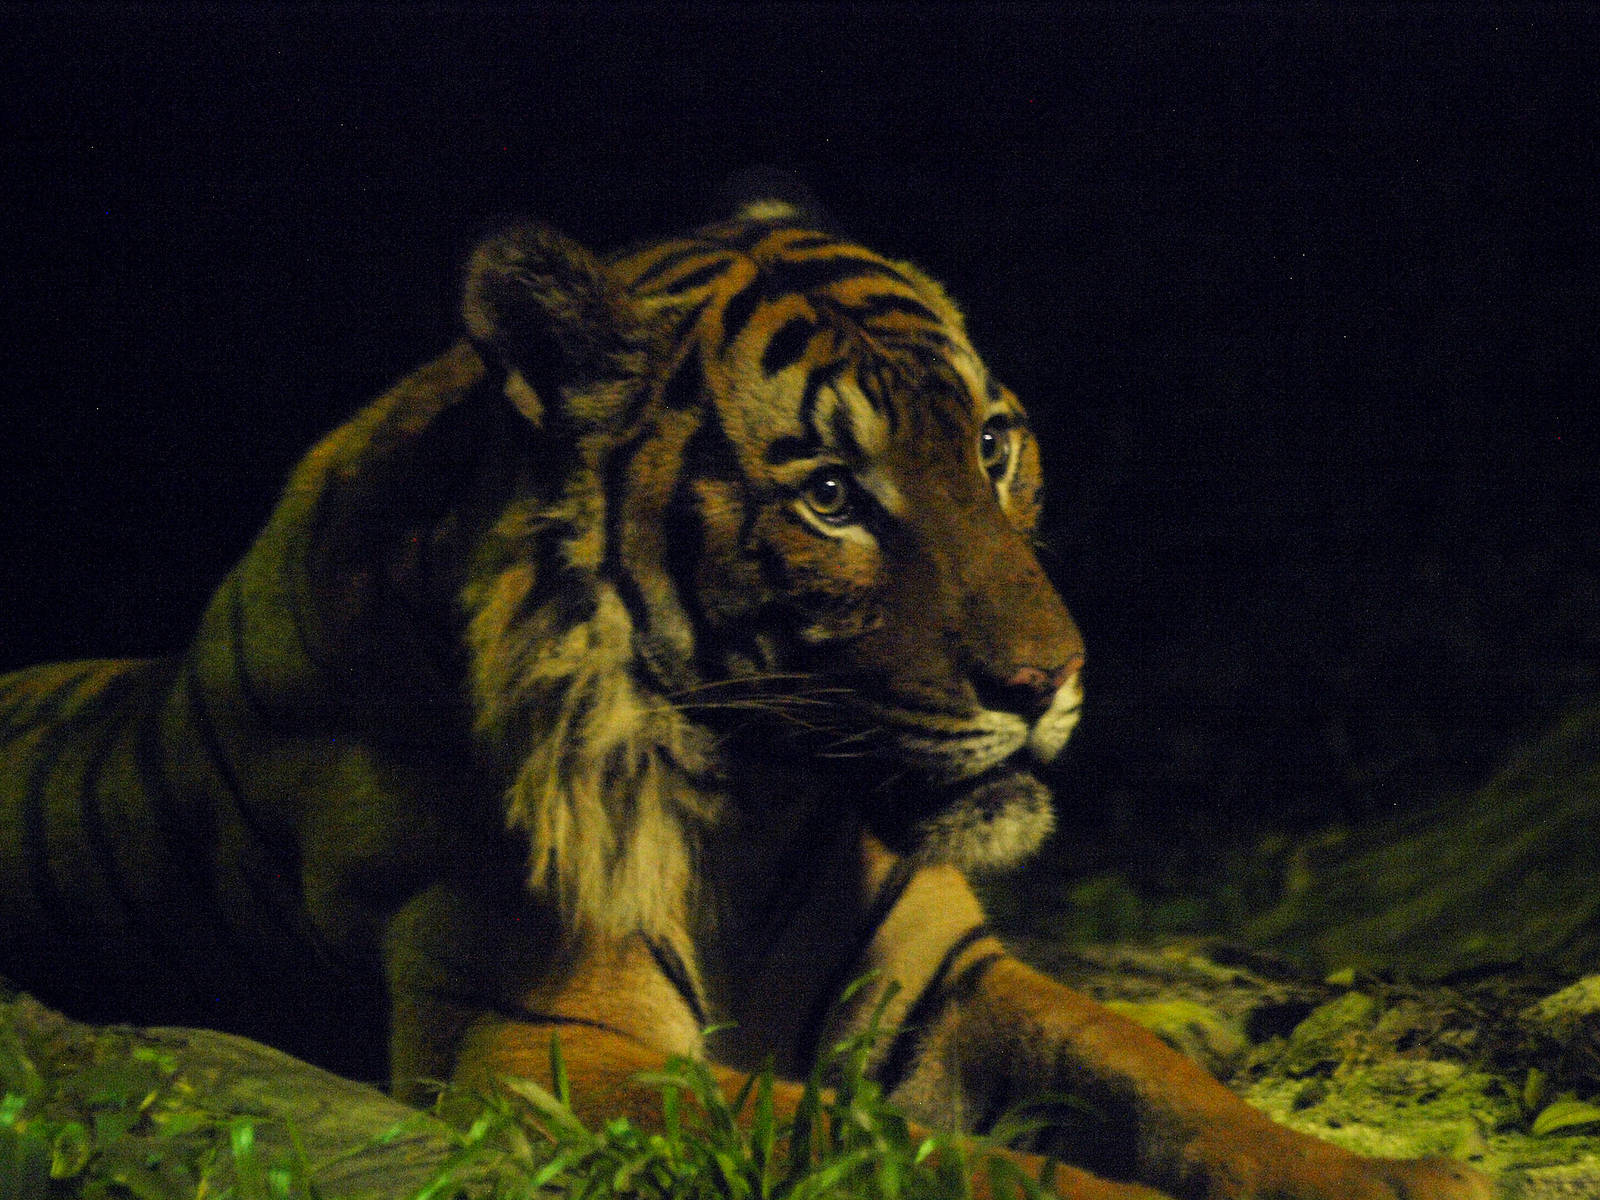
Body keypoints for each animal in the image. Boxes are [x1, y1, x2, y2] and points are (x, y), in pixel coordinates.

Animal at [0, 198, 1490, 1200]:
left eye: (992, 446)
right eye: (831, 497)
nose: (1048, 680)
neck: (757, 808)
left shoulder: (949, 982)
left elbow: (1164, 1077)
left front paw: (1389, 1178)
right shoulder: (553, 1049)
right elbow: (943, 1165)